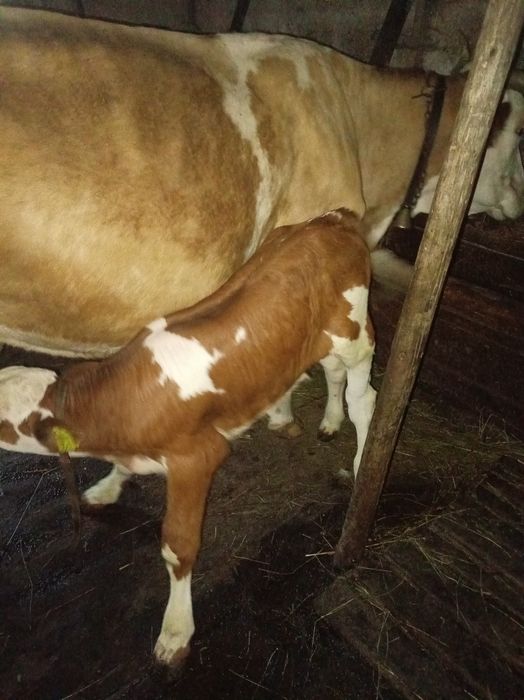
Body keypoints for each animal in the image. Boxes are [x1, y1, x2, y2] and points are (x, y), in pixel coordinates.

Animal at [0, 209, 376, 665]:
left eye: (1, 420)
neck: (113, 402)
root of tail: (332, 219)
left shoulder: (197, 458)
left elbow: (177, 547)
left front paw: (176, 630)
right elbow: (121, 472)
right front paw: (107, 488)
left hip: (356, 334)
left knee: (364, 398)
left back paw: (360, 459)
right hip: (318, 339)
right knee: (332, 374)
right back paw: (327, 420)